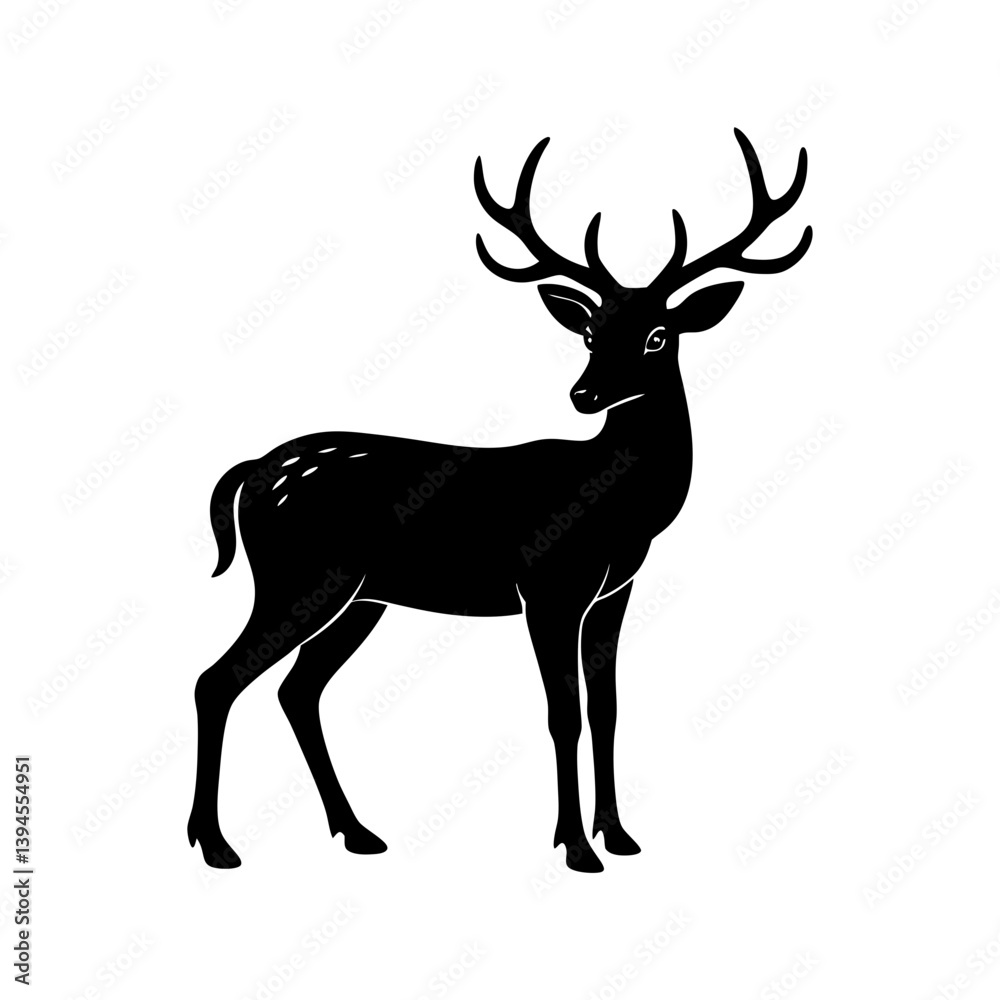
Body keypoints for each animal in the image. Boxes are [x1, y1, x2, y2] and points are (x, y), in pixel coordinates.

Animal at [188, 128, 811, 873]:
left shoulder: (615, 590)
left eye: (659, 334)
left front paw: (620, 835)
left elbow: (606, 707)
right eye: (591, 332)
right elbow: (562, 714)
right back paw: (215, 844)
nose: (583, 394)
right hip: (298, 576)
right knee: (218, 679)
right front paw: (575, 846)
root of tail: (250, 472)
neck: (620, 511)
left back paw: (358, 831)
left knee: (296, 689)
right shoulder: (548, 584)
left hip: (360, 595)